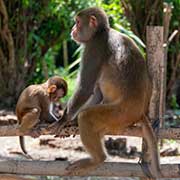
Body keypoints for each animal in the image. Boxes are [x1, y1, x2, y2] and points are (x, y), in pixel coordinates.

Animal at [53, 7, 162, 177]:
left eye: (78, 22)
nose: (73, 29)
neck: (100, 32)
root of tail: (140, 113)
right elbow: (96, 92)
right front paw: (72, 120)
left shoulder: (94, 47)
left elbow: (86, 87)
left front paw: (64, 118)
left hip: (120, 114)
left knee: (88, 117)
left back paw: (97, 159)